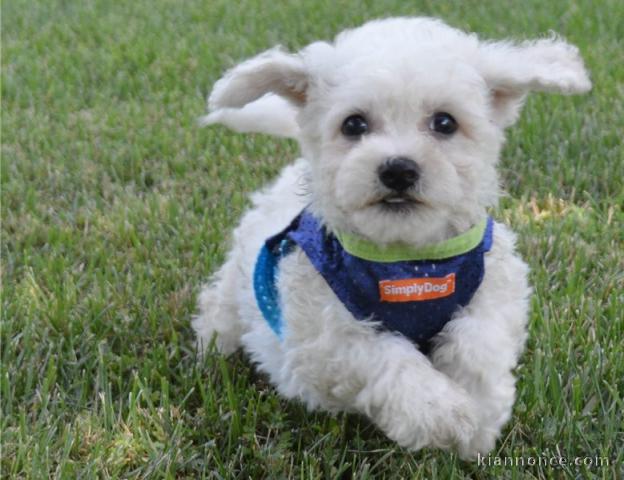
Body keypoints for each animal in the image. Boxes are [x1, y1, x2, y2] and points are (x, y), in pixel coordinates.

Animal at [193, 15, 592, 458]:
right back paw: (214, 346)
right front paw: (444, 412)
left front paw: (479, 416)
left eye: (445, 122)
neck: (407, 261)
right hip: (241, 281)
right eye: (354, 124)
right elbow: (385, 357)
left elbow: (478, 342)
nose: (398, 169)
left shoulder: (495, 286)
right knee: (220, 307)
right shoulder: (322, 336)